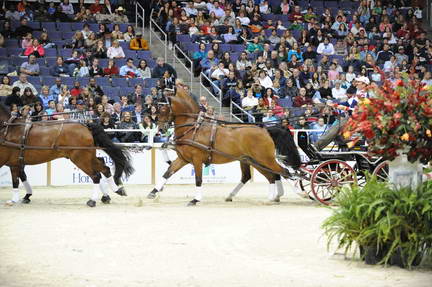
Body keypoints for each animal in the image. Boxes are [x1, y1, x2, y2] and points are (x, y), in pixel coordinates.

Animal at [0, 103, 133, 207]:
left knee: (96, 175)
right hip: (87, 157)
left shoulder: (11, 163)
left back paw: (92, 200)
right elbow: (22, 177)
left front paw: (14, 200)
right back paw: (113, 193)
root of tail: (86, 126)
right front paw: (26, 196)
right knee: (104, 168)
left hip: (80, 159)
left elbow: (15, 181)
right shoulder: (17, 163)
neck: (8, 130)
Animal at [146, 86, 300, 206]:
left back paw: (299, 193)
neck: (193, 128)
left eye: (164, 109)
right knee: (266, 175)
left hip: (264, 159)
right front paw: (153, 192)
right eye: (156, 109)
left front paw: (195, 199)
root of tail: (265, 129)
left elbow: (198, 179)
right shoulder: (184, 158)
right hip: (252, 160)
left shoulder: (197, 159)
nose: (161, 129)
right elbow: (168, 172)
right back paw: (271, 197)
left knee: (283, 171)